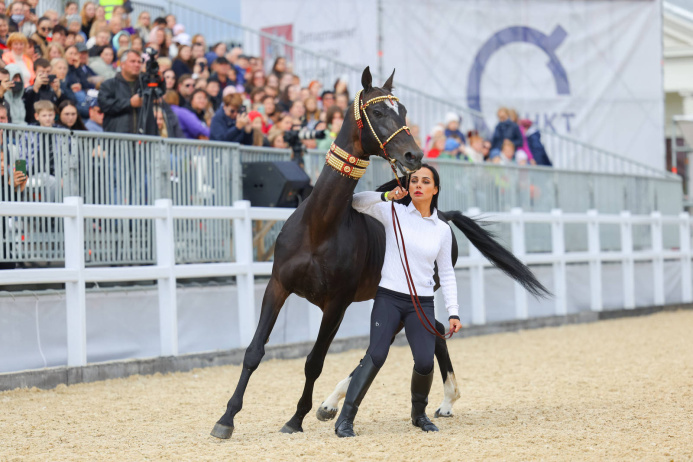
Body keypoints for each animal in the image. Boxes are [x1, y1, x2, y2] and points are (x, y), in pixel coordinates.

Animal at [211, 67, 548, 438]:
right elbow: (254, 351)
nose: (414, 156)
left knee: (415, 338)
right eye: (377, 112)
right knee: (433, 332)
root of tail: (443, 215)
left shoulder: (337, 304)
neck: (319, 228)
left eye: (403, 112)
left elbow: (314, 361)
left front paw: (295, 419)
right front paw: (226, 419)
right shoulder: (278, 286)